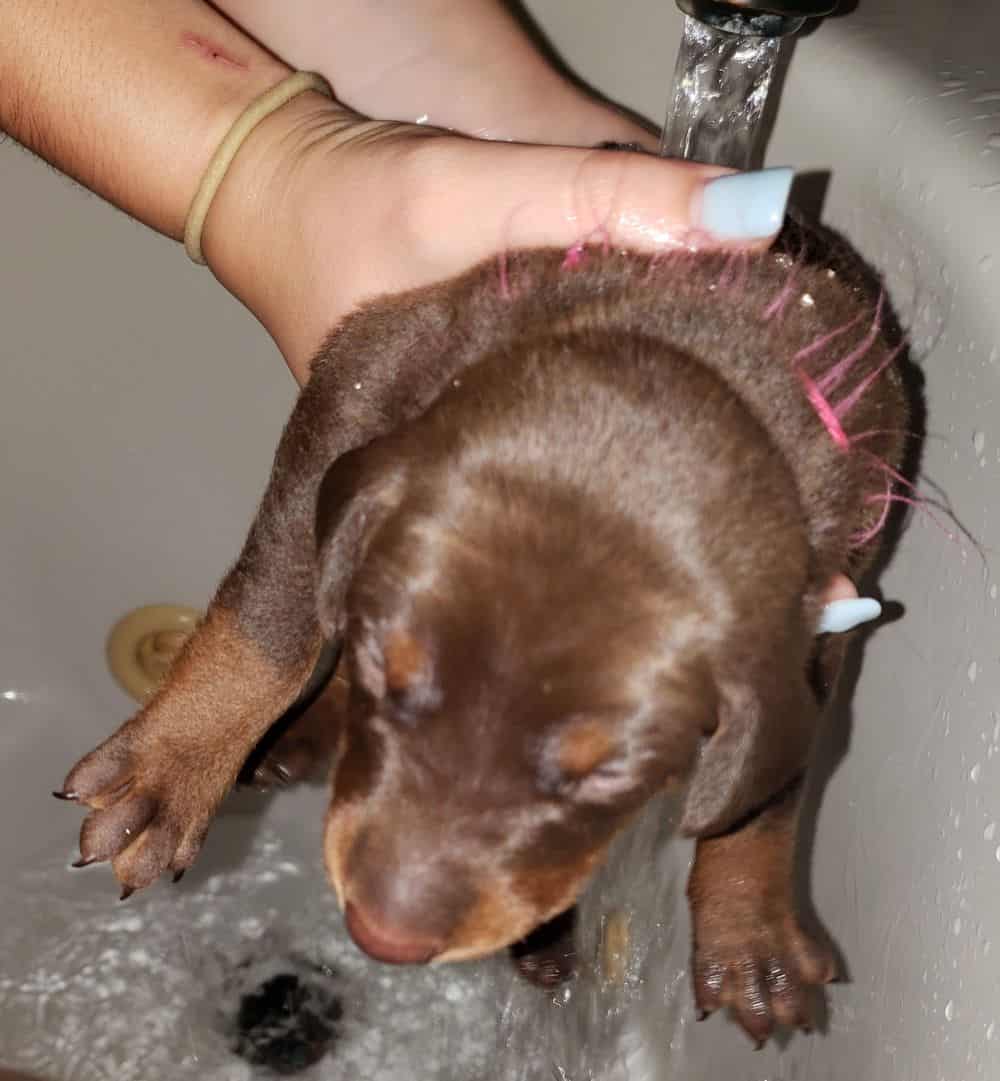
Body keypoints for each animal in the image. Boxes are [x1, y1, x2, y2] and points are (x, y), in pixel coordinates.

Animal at [58, 225, 908, 1046]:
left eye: (612, 776)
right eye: (384, 669)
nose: (383, 935)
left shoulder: (836, 581)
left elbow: (773, 780)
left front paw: (750, 930)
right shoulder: (364, 376)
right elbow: (280, 598)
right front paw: (173, 763)